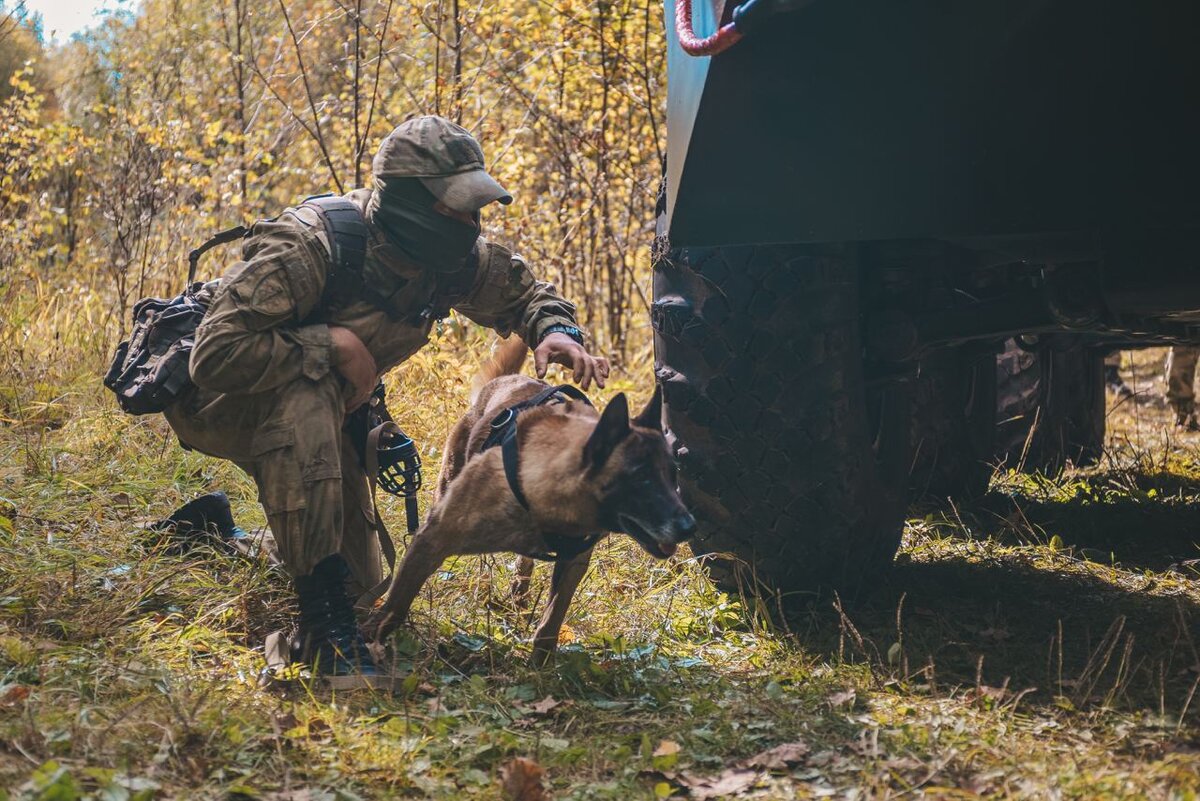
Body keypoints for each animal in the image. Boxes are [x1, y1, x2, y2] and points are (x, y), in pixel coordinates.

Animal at [362, 338, 696, 661]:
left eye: (673, 475)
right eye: (642, 479)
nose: (690, 526)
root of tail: (503, 380)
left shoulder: (573, 562)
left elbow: (551, 622)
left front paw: (540, 667)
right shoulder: (432, 539)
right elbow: (395, 605)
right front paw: (370, 640)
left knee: (525, 566)